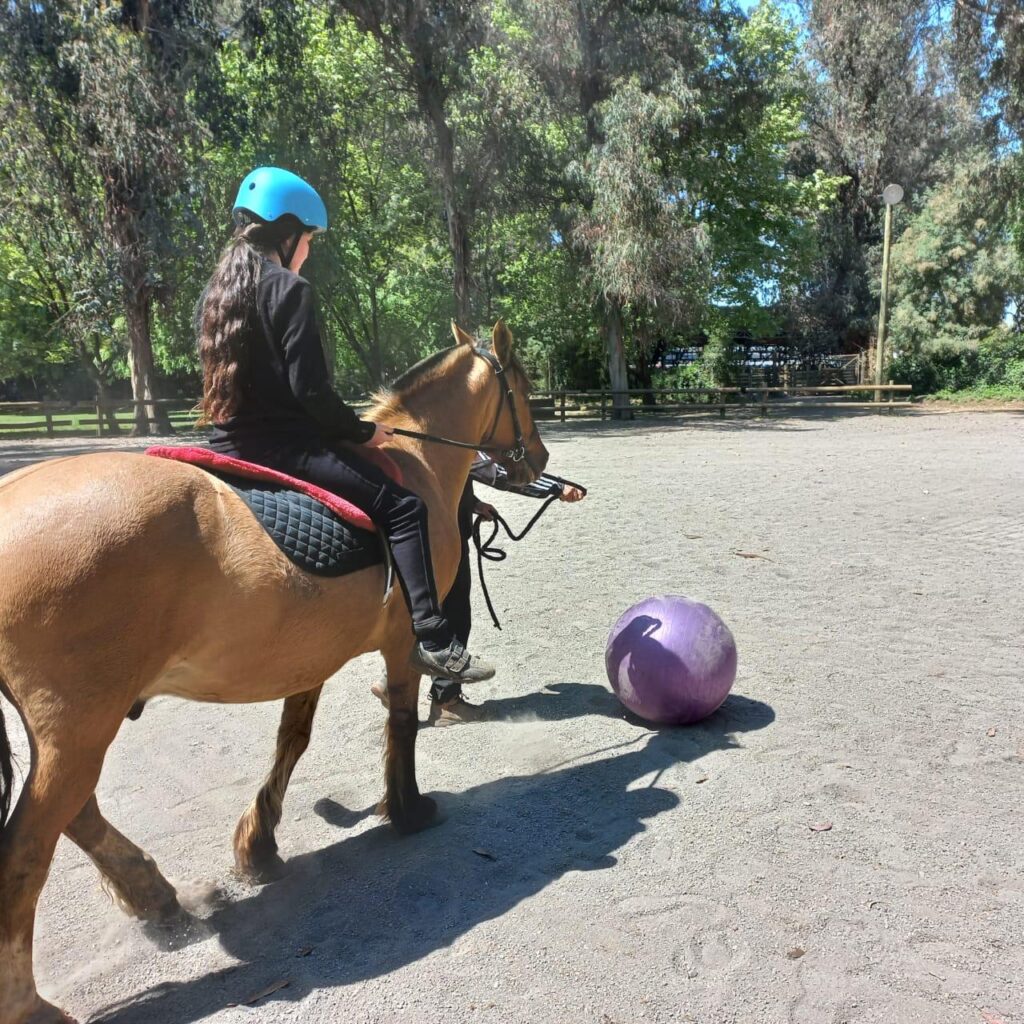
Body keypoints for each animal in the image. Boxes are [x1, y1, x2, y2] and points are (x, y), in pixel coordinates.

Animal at [0, 321, 548, 1024]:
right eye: (523, 385)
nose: (537, 456)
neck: (417, 465)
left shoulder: (308, 653)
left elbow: (293, 740)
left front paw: (259, 846)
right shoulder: (403, 643)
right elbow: (401, 724)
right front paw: (408, 809)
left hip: (68, 731)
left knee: (78, 817)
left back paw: (156, 899)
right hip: (78, 727)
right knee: (27, 852)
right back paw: (33, 1001)